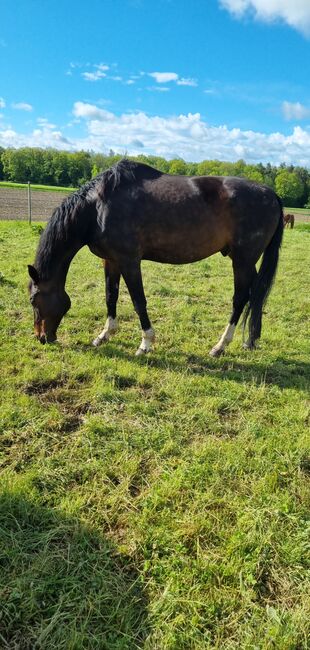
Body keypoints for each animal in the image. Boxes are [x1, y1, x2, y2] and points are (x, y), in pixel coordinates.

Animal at [28, 159, 284, 356]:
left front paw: (146, 344)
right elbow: (110, 296)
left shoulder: (129, 261)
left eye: (33, 300)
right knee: (255, 296)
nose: (41, 337)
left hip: (242, 260)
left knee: (240, 298)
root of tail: (272, 194)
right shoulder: (111, 260)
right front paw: (104, 335)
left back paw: (220, 346)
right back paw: (249, 340)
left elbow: (138, 301)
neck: (98, 207)